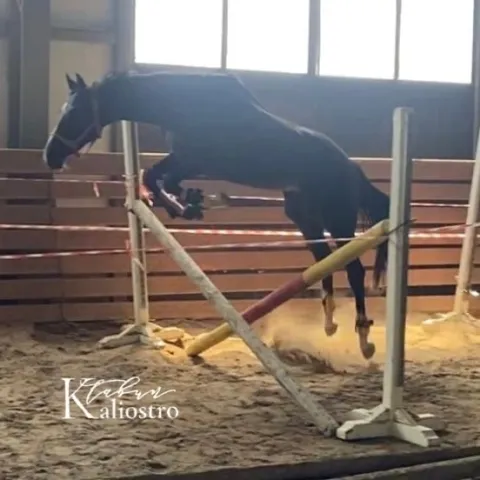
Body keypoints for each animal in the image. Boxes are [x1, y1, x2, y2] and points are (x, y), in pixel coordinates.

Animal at [43, 71, 390, 359]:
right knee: (323, 259)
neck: (181, 105)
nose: (50, 157)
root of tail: (351, 167)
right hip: (303, 215)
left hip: (337, 214)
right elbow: (154, 178)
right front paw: (190, 204)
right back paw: (329, 322)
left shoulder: (193, 159)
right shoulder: (185, 160)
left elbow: (155, 177)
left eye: (74, 113)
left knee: (353, 268)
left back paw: (364, 338)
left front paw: (188, 206)